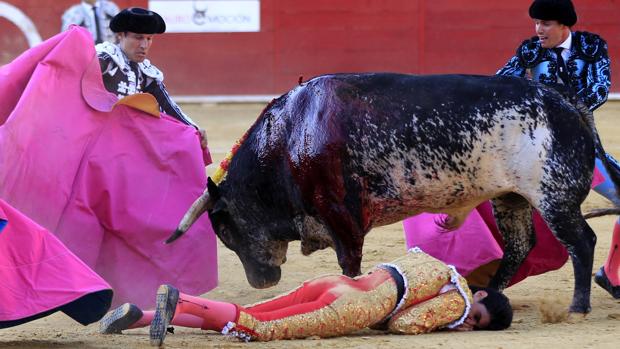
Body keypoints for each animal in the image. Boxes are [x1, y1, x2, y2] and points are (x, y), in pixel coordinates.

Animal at [168, 73, 616, 312]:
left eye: (224, 230)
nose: (261, 282)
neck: (289, 137)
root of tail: (567, 103)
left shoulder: (341, 214)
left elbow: (349, 264)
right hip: (512, 198)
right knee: (521, 245)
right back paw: (488, 292)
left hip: (554, 197)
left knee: (582, 241)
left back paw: (578, 306)